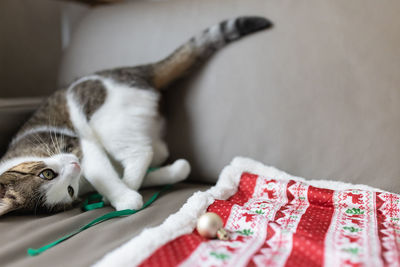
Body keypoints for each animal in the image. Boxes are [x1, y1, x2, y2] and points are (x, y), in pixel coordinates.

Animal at [0, 16, 272, 218]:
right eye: (69, 190)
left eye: (47, 174)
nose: (75, 167)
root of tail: (138, 72)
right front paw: (174, 171)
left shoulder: (79, 146)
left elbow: (102, 173)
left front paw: (124, 195)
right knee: (154, 149)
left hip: (106, 122)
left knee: (140, 151)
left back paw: (129, 183)